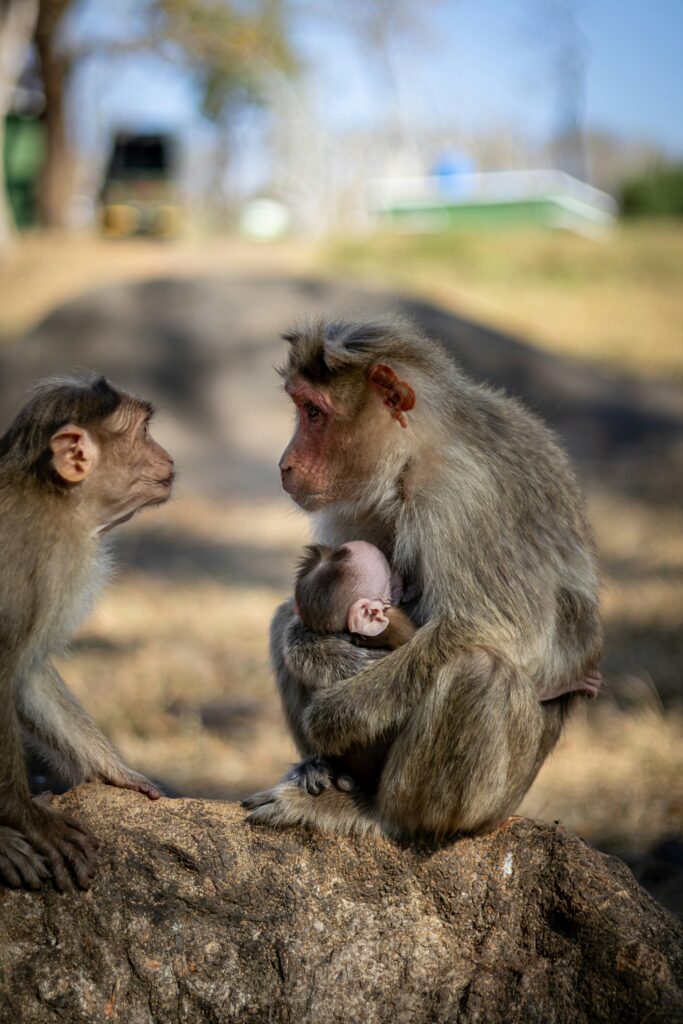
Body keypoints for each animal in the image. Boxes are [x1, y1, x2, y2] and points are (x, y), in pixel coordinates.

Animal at [0, 376, 174, 891]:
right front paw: (24, 819)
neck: (53, 496)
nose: (168, 457)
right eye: (144, 432)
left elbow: (26, 675)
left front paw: (113, 771)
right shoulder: (38, 557)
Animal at [243, 316, 602, 839]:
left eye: (313, 412)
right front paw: (323, 653)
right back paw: (324, 769)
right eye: (299, 406)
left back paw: (380, 813)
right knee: (281, 616)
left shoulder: (461, 496)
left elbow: (507, 632)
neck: (414, 455)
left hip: (497, 800)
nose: (284, 464)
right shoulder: (359, 501)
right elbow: (305, 608)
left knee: (479, 670)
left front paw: (336, 712)